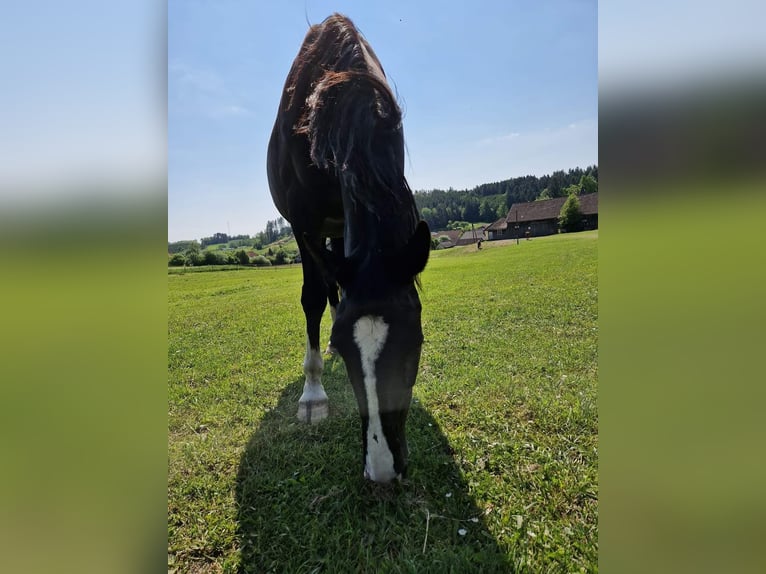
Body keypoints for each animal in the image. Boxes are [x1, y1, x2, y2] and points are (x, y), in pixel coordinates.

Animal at [268, 13, 428, 484]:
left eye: (415, 342)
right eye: (344, 342)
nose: (383, 469)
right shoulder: (302, 224)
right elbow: (312, 298)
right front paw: (313, 394)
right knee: (324, 289)